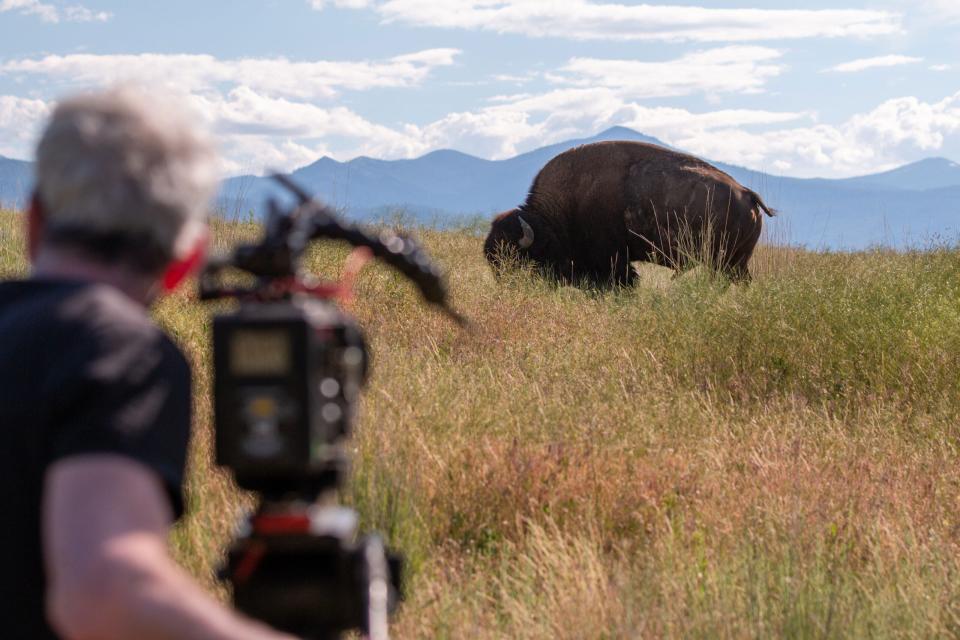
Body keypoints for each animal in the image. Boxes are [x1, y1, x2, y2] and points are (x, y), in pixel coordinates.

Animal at [484, 143, 776, 290]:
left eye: (517, 259)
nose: (508, 288)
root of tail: (747, 194)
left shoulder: (614, 262)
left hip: (728, 263)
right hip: (734, 263)